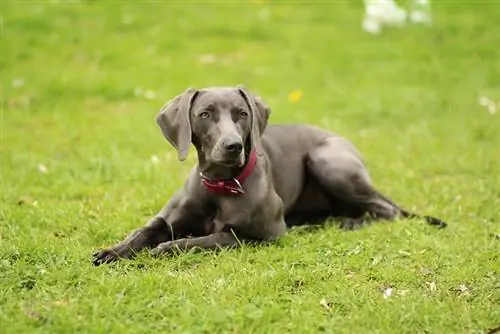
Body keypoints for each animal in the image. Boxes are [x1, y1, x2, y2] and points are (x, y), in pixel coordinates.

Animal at [92, 84, 448, 266]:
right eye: (204, 115)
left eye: (242, 114)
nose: (233, 146)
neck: (221, 184)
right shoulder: (166, 219)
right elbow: (143, 231)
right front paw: (113, 251)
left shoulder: (261, 234)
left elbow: (206, 239)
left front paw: (167, 248)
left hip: (328, 161)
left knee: (387, 210)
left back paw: (352, 222)